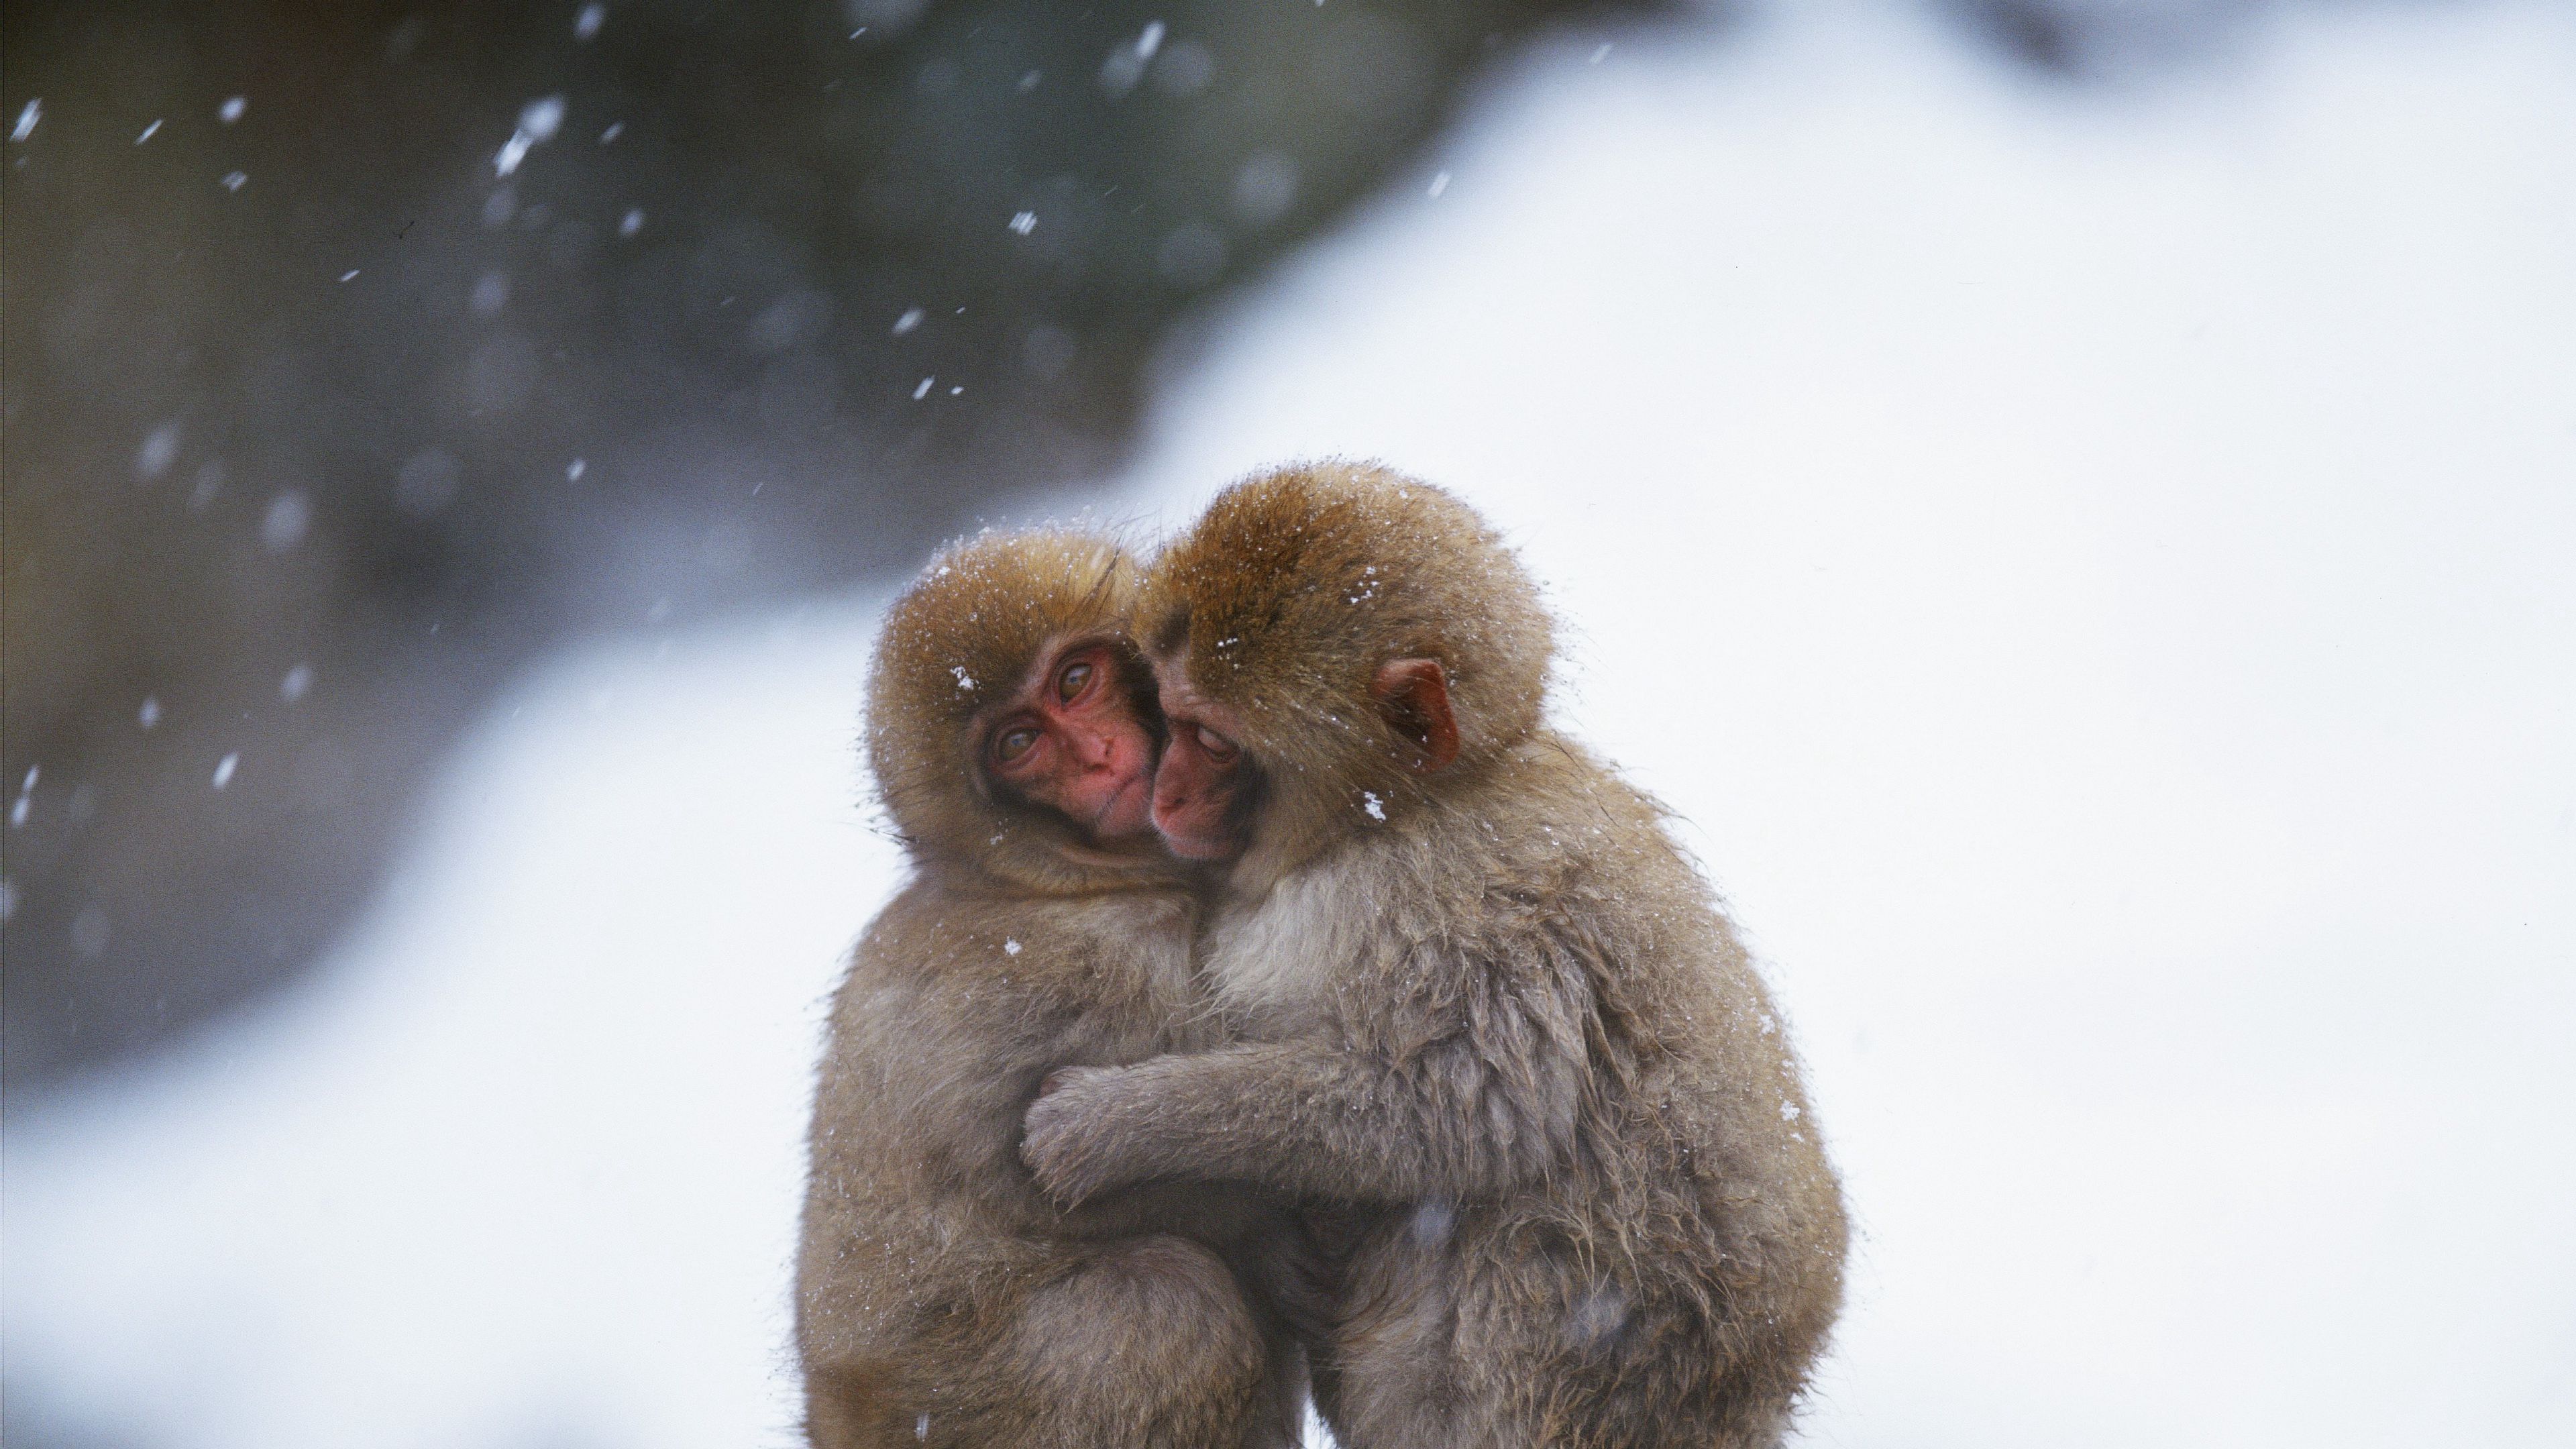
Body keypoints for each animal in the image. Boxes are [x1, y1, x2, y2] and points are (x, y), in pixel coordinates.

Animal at [796, 528, 1302, 1449]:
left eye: (1075, 681)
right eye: (1019, 743)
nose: (1100, 758)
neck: (1053, 884)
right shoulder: (1071, 966)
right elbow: (1029, 1169)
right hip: (965, 1405)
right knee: (1174, 1310)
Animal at [1021, 463, 1849, 1449]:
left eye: (1212, 740)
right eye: (1166, 716)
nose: (1166, 792)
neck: (1400, 812)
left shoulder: (1450, 903)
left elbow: (1467, 1106)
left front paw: (1118, 1126)